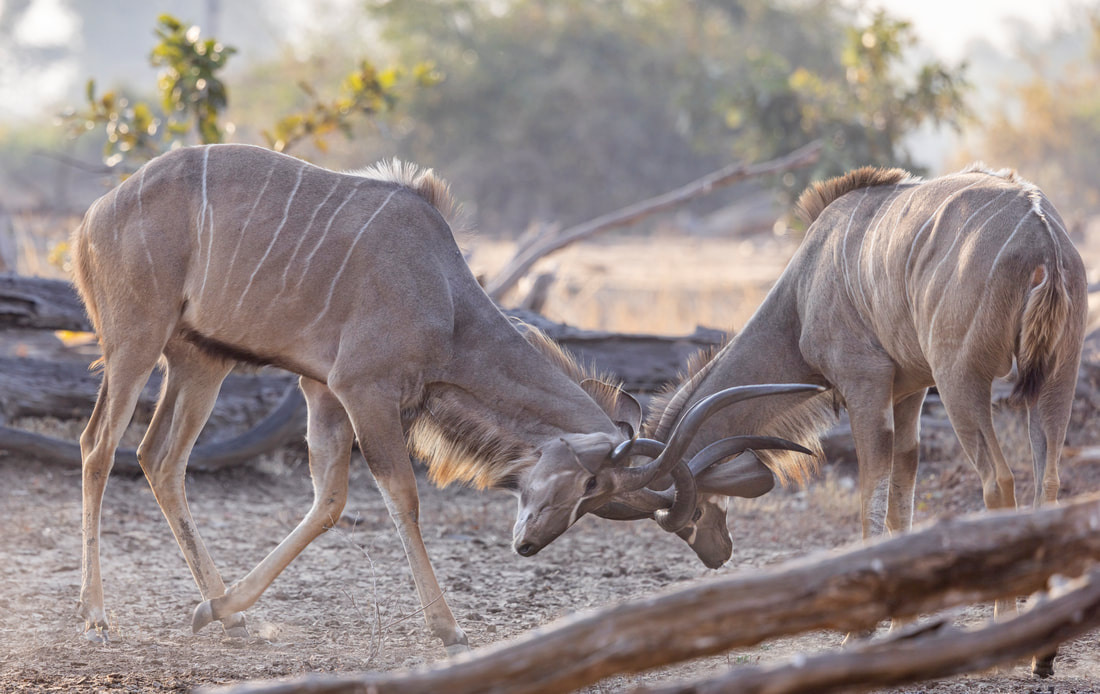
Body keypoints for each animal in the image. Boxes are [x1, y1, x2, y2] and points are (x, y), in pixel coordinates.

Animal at [71, 143, 815, 656]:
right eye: (591, 483)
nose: (528, 545)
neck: (444, 296)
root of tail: (93, 217)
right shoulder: (361, 390)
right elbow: (400, 495)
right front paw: (448, 626)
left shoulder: (324, 392)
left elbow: (329, 499)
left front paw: (219, 610)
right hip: (137, 341)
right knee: (98, 446)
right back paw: (96, 614)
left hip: (201, 361)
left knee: (160, 457)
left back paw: (224, 611)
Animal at [607, 164, 1087, 676]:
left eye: (693, 514)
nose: (718, 555)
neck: (802, 292)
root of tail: (1043, 235)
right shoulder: (909, 392)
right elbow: (900, 502)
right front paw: (901, 627)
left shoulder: (866, 385)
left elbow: (871, 499)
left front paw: (860, 632)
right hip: (1056, 378)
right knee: (1048, 483)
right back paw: (1042, 651)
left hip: (961, 380)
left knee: (1000, 480)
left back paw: (1007, 636)